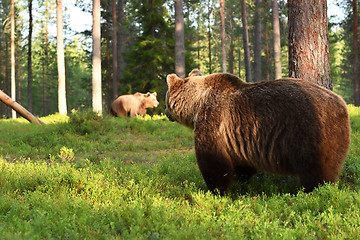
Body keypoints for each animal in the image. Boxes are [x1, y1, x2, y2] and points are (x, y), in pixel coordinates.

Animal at [165, 72, 350, 194]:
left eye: (165, 98)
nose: (165, 112)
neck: (196, 105)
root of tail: (341, 104)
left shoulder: (213, 117)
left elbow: (213, 159)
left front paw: (215, 190)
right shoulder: (239, 137)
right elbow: (242, 163)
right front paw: (241, 179)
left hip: (308, 131)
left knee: (314, 169)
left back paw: (315, 191)